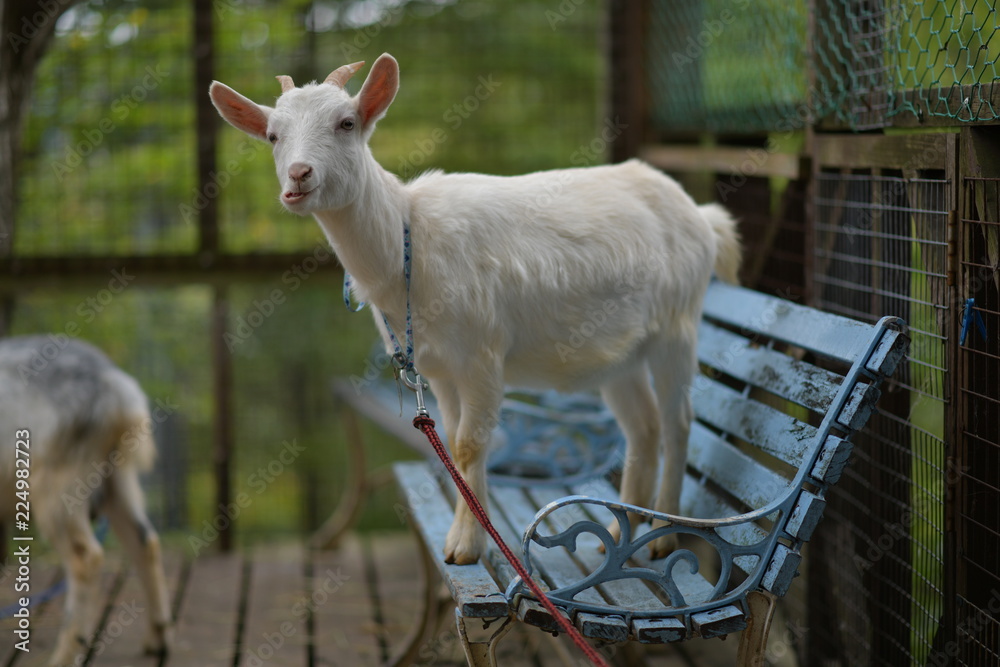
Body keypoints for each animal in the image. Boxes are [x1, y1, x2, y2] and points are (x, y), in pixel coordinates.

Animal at [0, 336, 172, 666]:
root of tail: (115, 383)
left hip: (55, 491)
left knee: (86, 559)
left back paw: (63, 657)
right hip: (115, 481)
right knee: (145, 542)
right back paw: (157, 640)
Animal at [209, 54, 741, 565]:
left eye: (346, 122)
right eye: (273, 135)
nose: (299, 176)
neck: (408, 246)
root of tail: (703, 217)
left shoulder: (484, 353)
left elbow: (469, 443)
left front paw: (466, 547)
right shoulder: (438, 368)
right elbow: (451, 438)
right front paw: (464, 542)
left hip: (678, 325)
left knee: (678, 420)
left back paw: (662, 540)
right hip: (621, 355)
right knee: (644, 427)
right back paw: (616, 534)